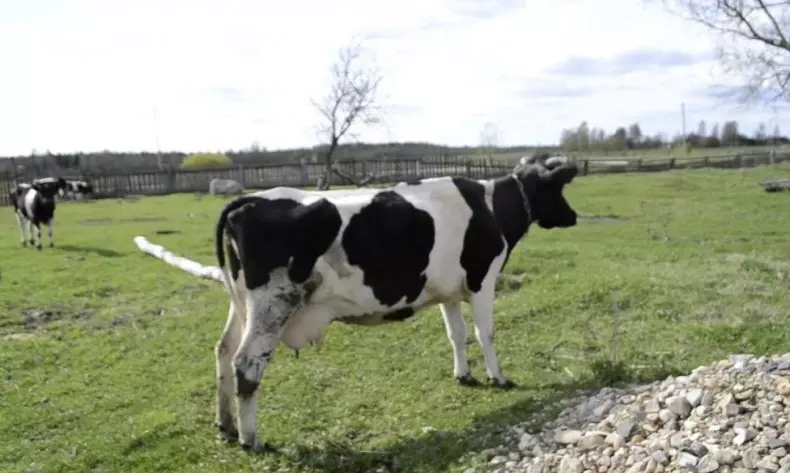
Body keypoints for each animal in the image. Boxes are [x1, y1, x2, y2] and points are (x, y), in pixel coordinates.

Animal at [201, 153, 581, 451]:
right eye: (556, 189)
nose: (574, 216)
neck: (489, 207)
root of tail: (251, 200)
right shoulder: (482, 281)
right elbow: (485, 333)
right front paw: (499, 378)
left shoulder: (449, 291)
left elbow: (456, 334)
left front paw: (464, 375)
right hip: (273, 304)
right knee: (246, 364)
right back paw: (251, 439)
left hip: (243, 305)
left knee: (223, 350)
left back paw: (227, 425)